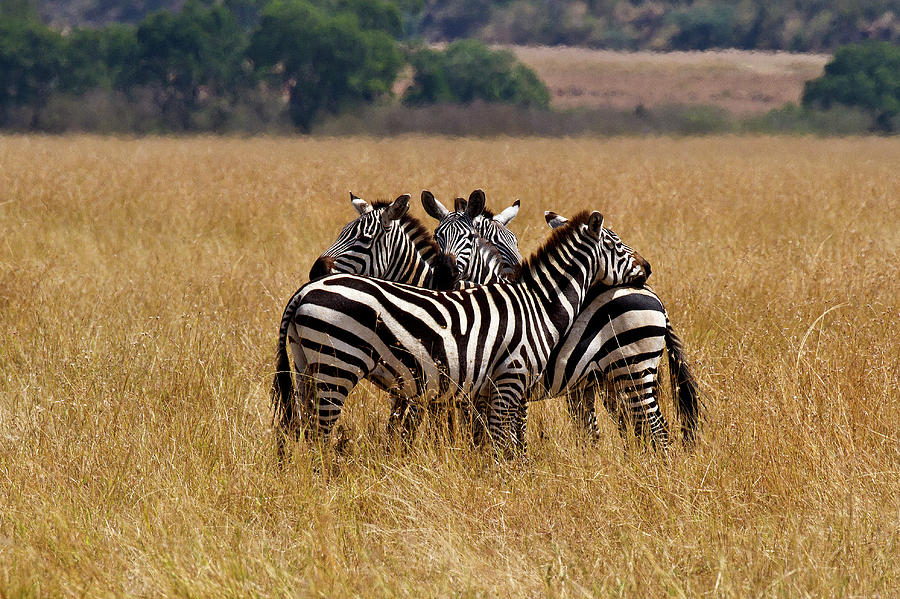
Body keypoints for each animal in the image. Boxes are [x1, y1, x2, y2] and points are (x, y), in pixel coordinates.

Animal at [272, 211, 651, 458]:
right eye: (618, 244)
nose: (647, 268)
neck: (537, 303)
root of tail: (305, 291)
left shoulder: (486, 388)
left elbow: (492, 441)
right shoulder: (509, 379)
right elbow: (499, 443)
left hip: (307, 368)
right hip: (336, 367)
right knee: (319, 435)